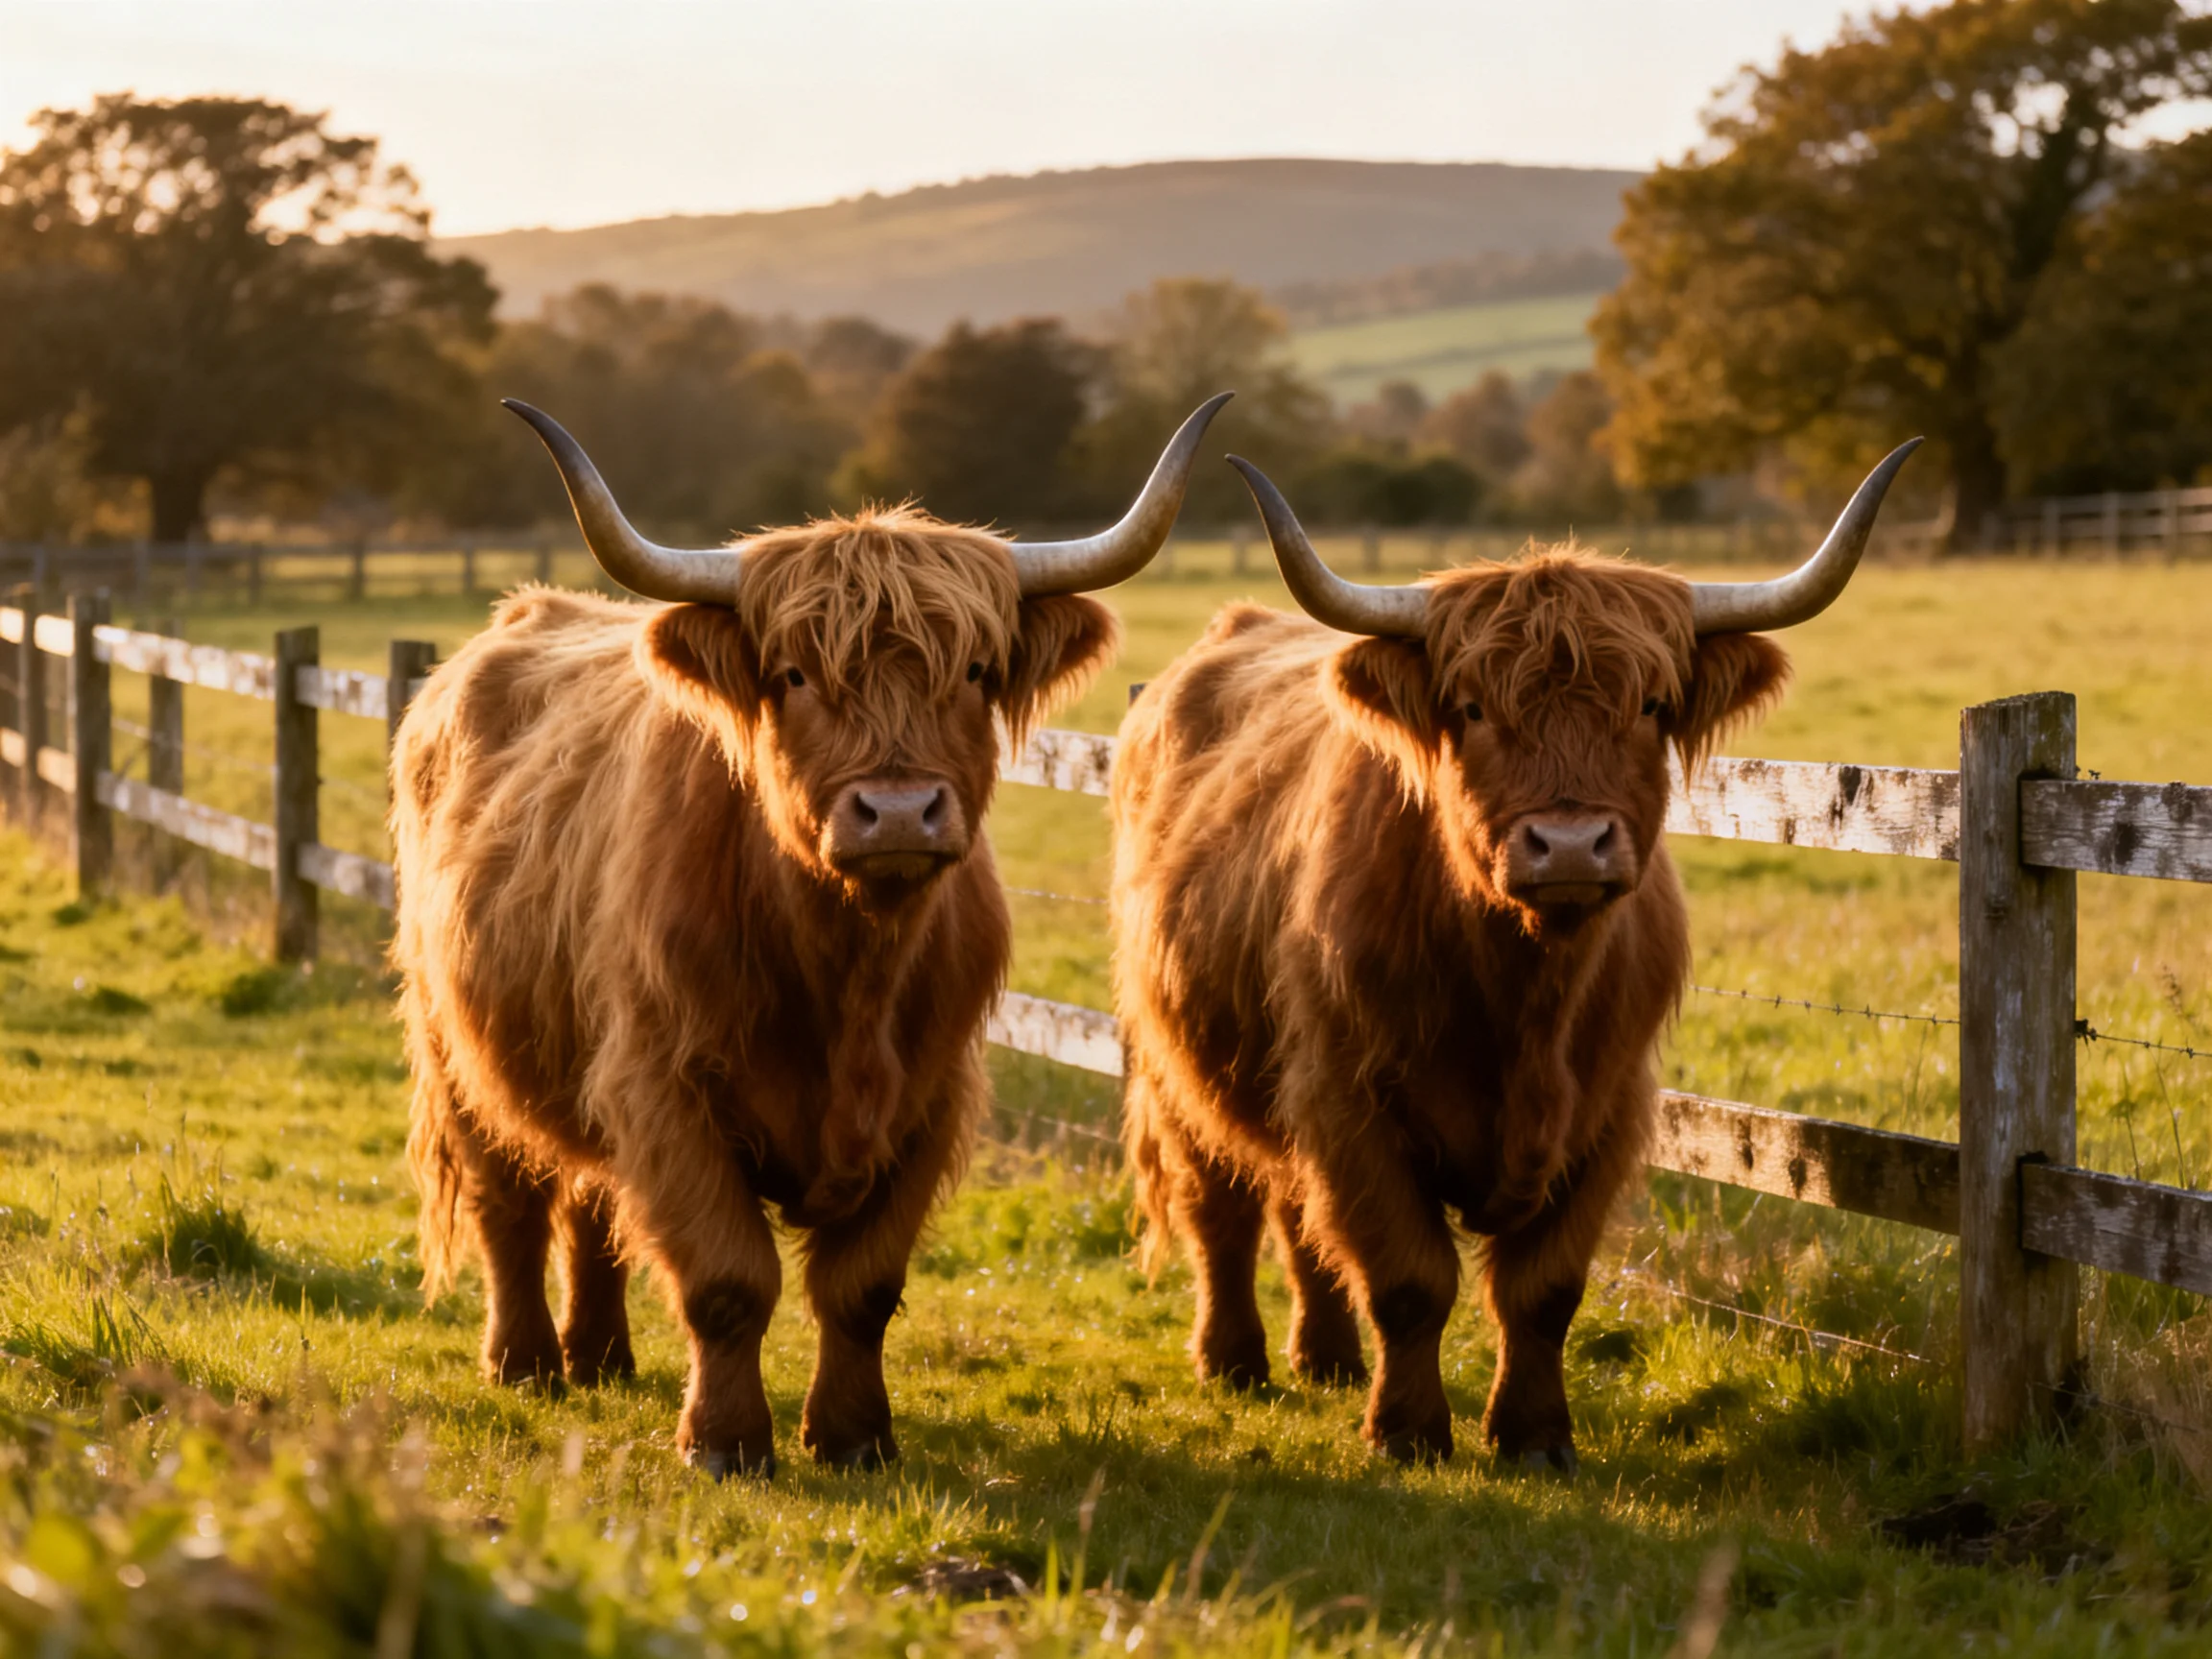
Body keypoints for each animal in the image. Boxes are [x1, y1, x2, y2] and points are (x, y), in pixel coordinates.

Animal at [394, 391, 1229, 1476]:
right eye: (792, 675)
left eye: (975, 670)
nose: (900, 811)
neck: (847, 973)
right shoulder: (666, 1087)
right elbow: (727, 1280)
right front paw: (726, 1443)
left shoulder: (929, 1099)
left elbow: (862, 1288)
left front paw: (852, 1436)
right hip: (454, 1039)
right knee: (510, 1200)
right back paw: (526, 1362)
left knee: (592, 1201)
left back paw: (603, 1355)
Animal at [1110, 442, 1916, 1469]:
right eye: (1470, 708)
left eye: (1652, 704)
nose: (1569, 846)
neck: (1524, 995)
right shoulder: (1348, 1098)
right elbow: (1410, 1279)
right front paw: (1409, 1433)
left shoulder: (1607, 1110)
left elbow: (1542, 1291)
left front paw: (1533, 1436)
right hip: (1178, 1059)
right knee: (1222, 1203)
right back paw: (1234, 1360)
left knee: (1296, 1211)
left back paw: (1325, 1358)